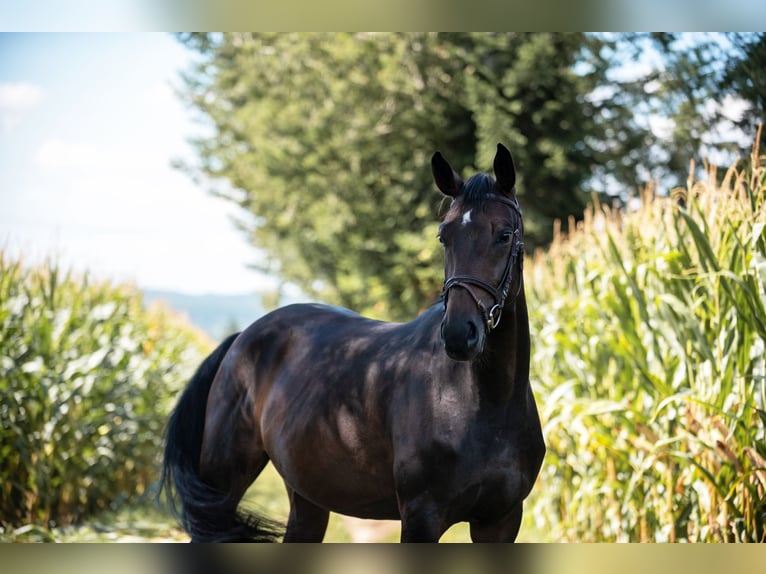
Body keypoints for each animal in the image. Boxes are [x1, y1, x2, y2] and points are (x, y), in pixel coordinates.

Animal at [160, 144, 544, 544]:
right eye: (444, 236)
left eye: (504, 234)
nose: (458, 334)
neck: (486, 405)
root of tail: (240, 341)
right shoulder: (421, 518)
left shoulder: (500, 521)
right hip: (222, 488)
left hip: (307, 496)